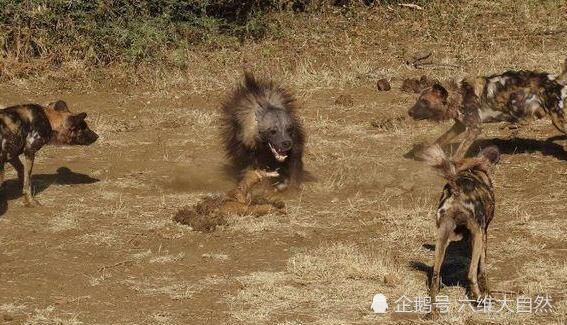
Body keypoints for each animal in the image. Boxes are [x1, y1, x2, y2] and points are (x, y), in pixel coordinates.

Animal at [410, 58, 567, 160]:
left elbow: (458, 153)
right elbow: (440, 139)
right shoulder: (460, 126)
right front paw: (424, 152)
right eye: (418, 100)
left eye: (425, 102)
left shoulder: (474, 128)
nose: (409, 112)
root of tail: (556, 79)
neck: (458, 94)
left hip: (559, 121)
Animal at [422, 144, 502, 304]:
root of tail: (456, 189)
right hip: (477, 235)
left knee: (435, 276)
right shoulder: (482, 233)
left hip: (442, 239)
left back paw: (434, 308)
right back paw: (480, 299)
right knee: (471, 275)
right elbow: (482, 270)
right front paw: (488, 292)